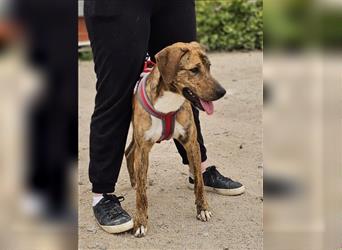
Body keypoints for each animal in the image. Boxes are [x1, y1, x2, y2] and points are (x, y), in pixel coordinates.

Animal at [124, 41, 226, 236]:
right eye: (194, 70)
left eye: (209, 67)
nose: (222, 92)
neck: (169, 101)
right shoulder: (144, 149)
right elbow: (141, 195)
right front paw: (140, 221)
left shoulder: (191, 143)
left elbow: (199, 183)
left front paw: (202, 209)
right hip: (138, 138)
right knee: (130, 154)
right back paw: (135, 182)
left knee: (129, 151)